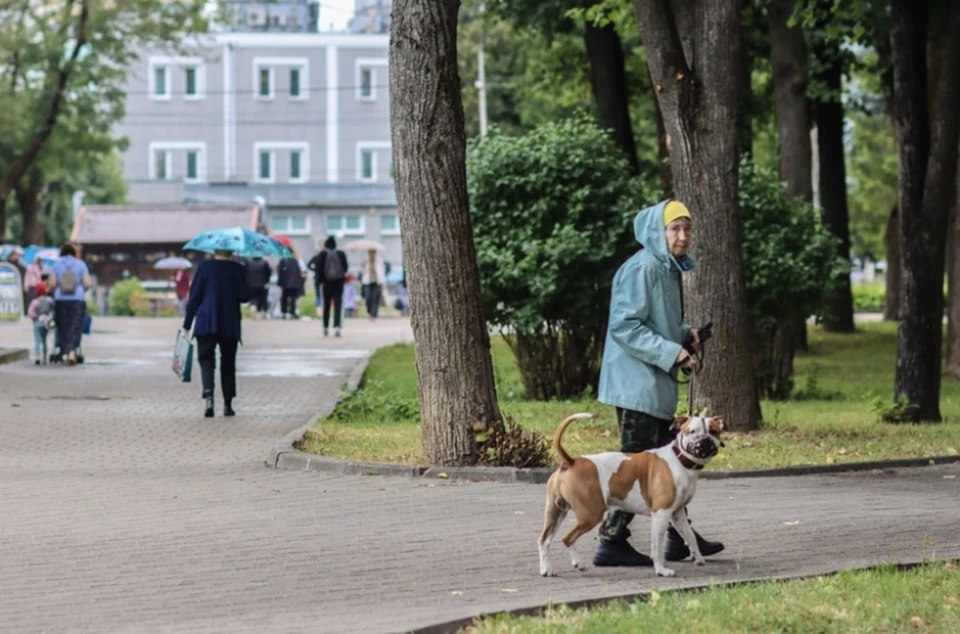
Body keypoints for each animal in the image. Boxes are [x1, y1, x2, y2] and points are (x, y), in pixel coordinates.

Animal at [536, 410, 724, 576]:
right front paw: (661, 570)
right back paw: (578, 563)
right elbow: (657, 547)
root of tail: (571, 461)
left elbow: (690, 536)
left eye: (713, 431)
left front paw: (698, 557)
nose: (704, 440)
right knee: (567, 538)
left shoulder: (677, 513)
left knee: (544, 540)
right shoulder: (661, 513)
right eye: (692, 431)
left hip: (555, 512)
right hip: (590, 514)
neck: (679, 459)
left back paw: (547, 569)